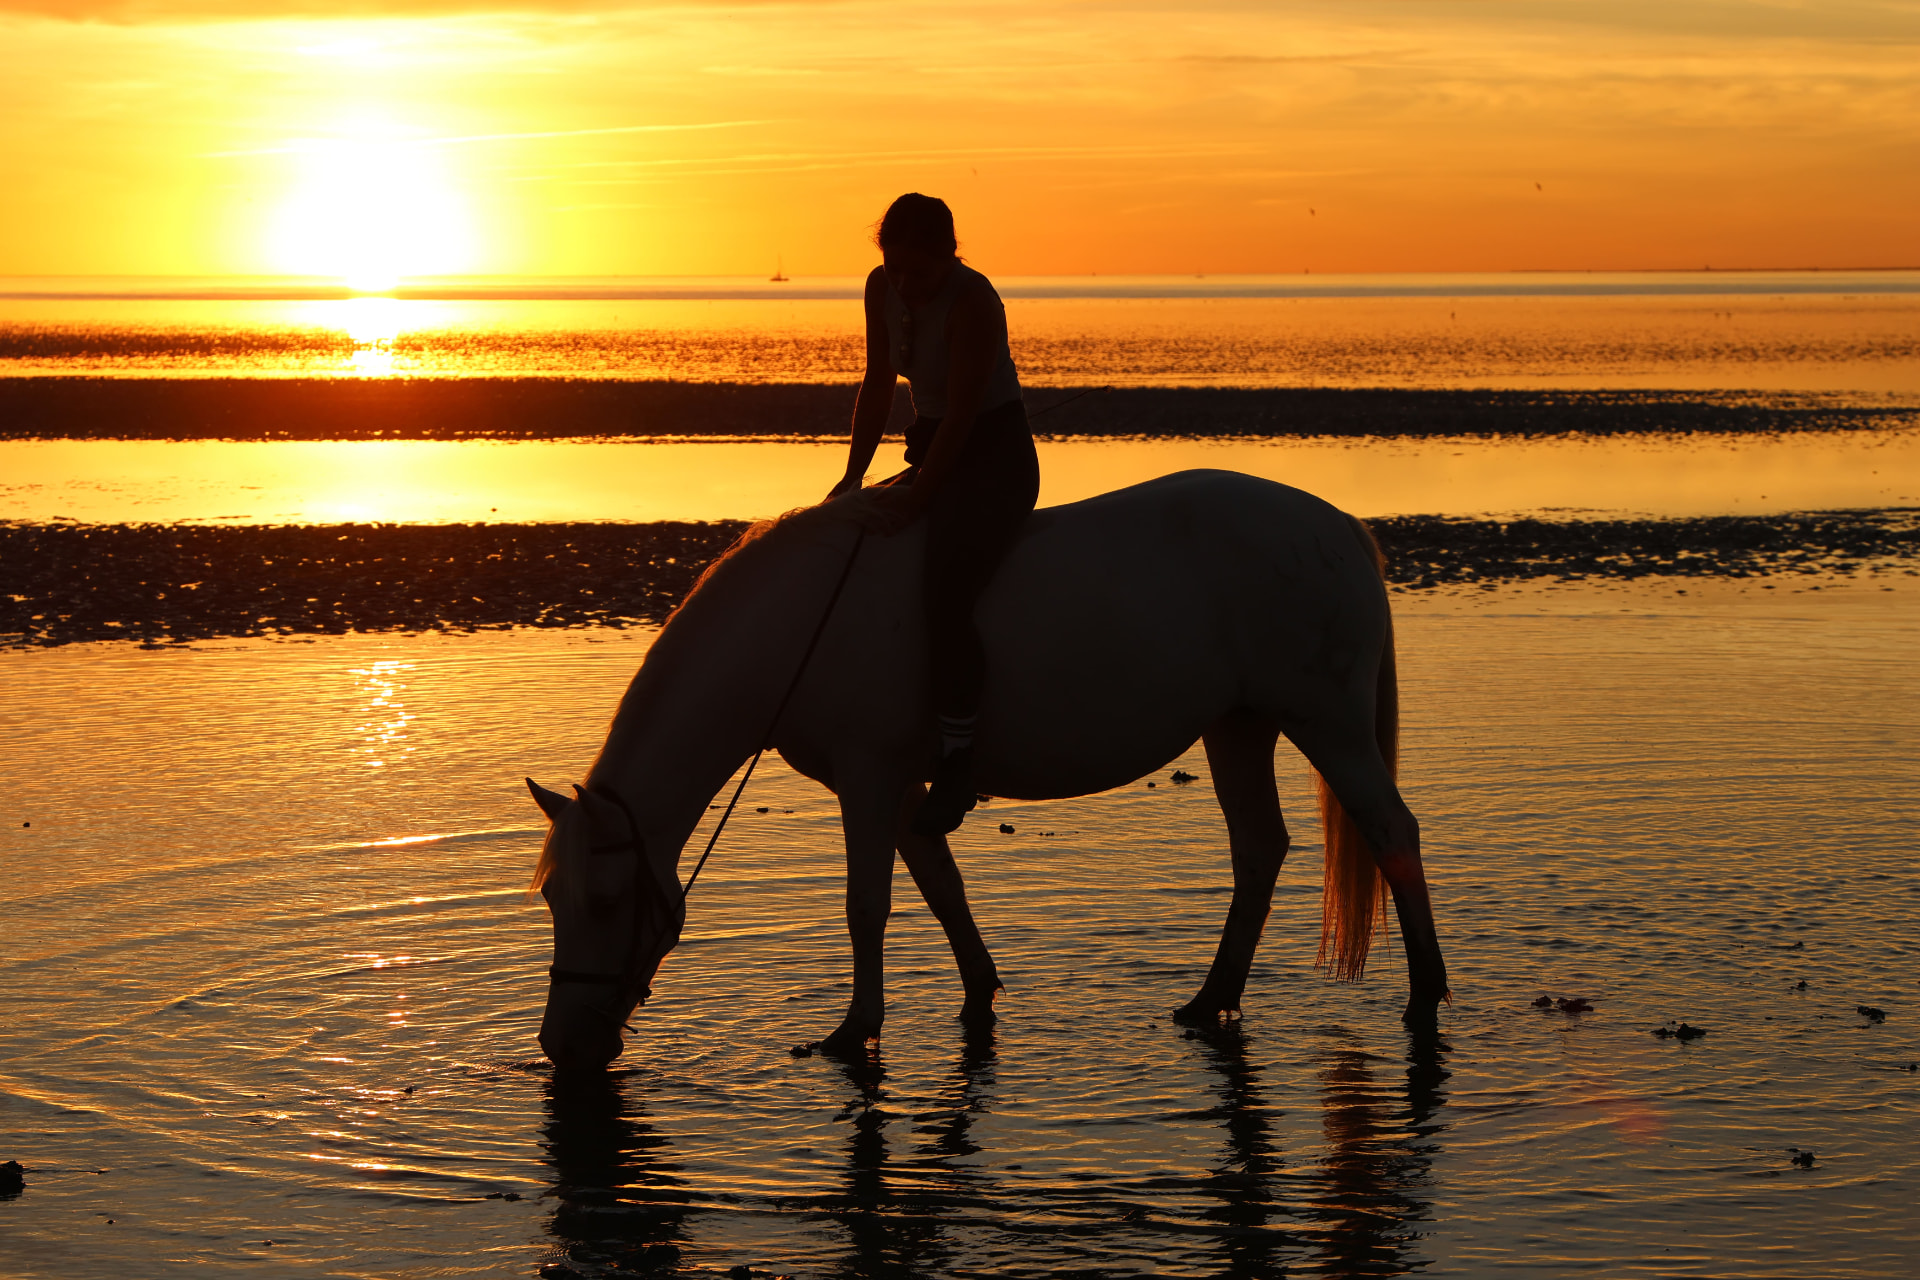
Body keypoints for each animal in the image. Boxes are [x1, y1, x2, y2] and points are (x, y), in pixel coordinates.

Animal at [526, 469, 1448, 1069]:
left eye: (605, 900)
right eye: (551, 900)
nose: (562, 1045)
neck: (799, 624)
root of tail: (1340, 527)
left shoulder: (868, 776)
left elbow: (866, 906)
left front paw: (854, 1030)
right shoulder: (901, 787)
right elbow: (941, 884)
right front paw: (979, 994)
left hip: (1326, 722)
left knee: (1390, 831)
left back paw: (1426, 996)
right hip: (1239, 725)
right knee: (1259, 848)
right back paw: (1209, 998)